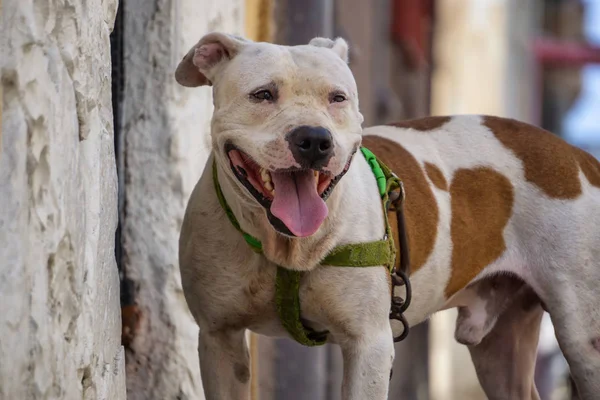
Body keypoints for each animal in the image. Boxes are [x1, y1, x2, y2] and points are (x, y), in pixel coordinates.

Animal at [176, 32, 600, 400]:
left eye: (338, 98)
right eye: (262, 94)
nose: (314, 139)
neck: (286, 248)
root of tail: (578, 155)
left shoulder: (370, 344)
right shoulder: (220, 339)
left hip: (584, 339)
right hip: (502, 347)